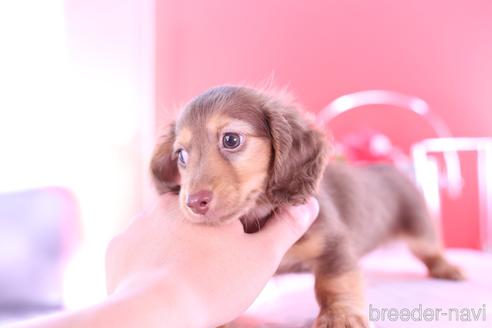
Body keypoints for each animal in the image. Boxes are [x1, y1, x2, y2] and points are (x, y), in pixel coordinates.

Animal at [151, 86, 466, 328]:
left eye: (231, 139)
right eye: (181, 155)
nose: (194, 203)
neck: (258, 215)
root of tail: (388, 168)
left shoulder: (334, 243)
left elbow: (334, 282)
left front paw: (340, 316)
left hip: (420, 227)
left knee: (430, 251)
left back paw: (448, 268)